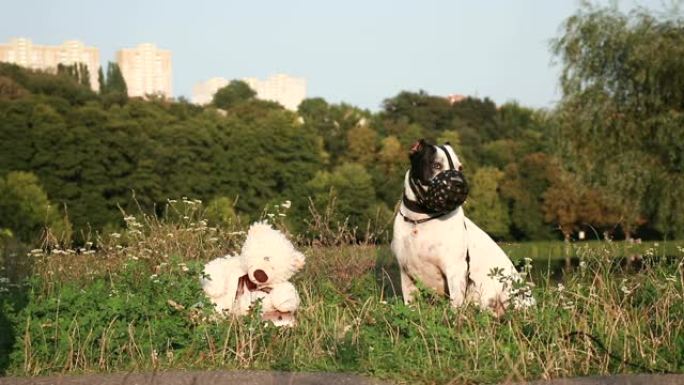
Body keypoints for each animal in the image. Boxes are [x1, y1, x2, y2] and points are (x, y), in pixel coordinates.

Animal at [390, 140, 528, 314]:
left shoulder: (455, 270)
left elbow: (455, 305)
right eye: (436, 165)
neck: (421, 219)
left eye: (460, 168)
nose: (459, 183)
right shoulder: (406, 274)